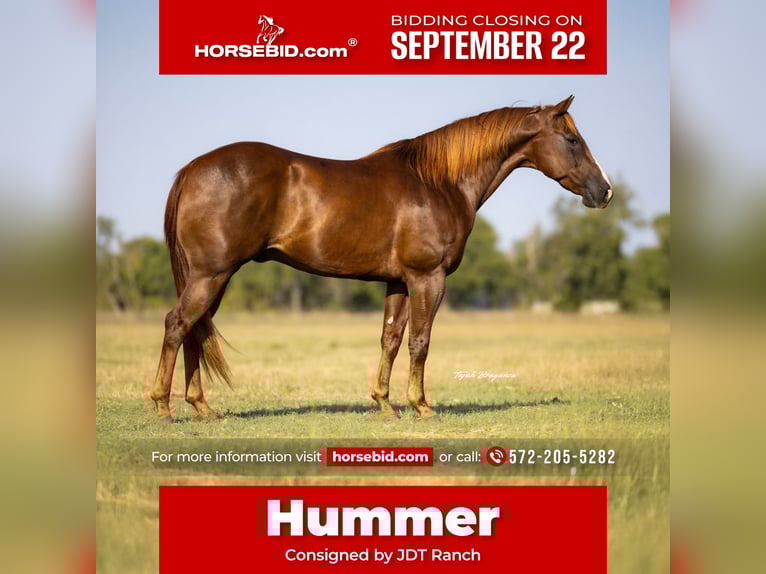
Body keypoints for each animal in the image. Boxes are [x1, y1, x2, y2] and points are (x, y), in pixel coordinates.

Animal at [150, 95, 612, 422]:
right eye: (572, 140)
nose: (604, 191)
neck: (438, 181)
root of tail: (192, 169)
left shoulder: (398, 281)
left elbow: (390, 339)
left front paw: (384, 404)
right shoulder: (428, 278)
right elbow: (420, 341)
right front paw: (421, 406)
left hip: (213, 278)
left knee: (194, 330)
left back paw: (202, 408)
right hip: (211, 274)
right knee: (178, 324)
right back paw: (162, 406)